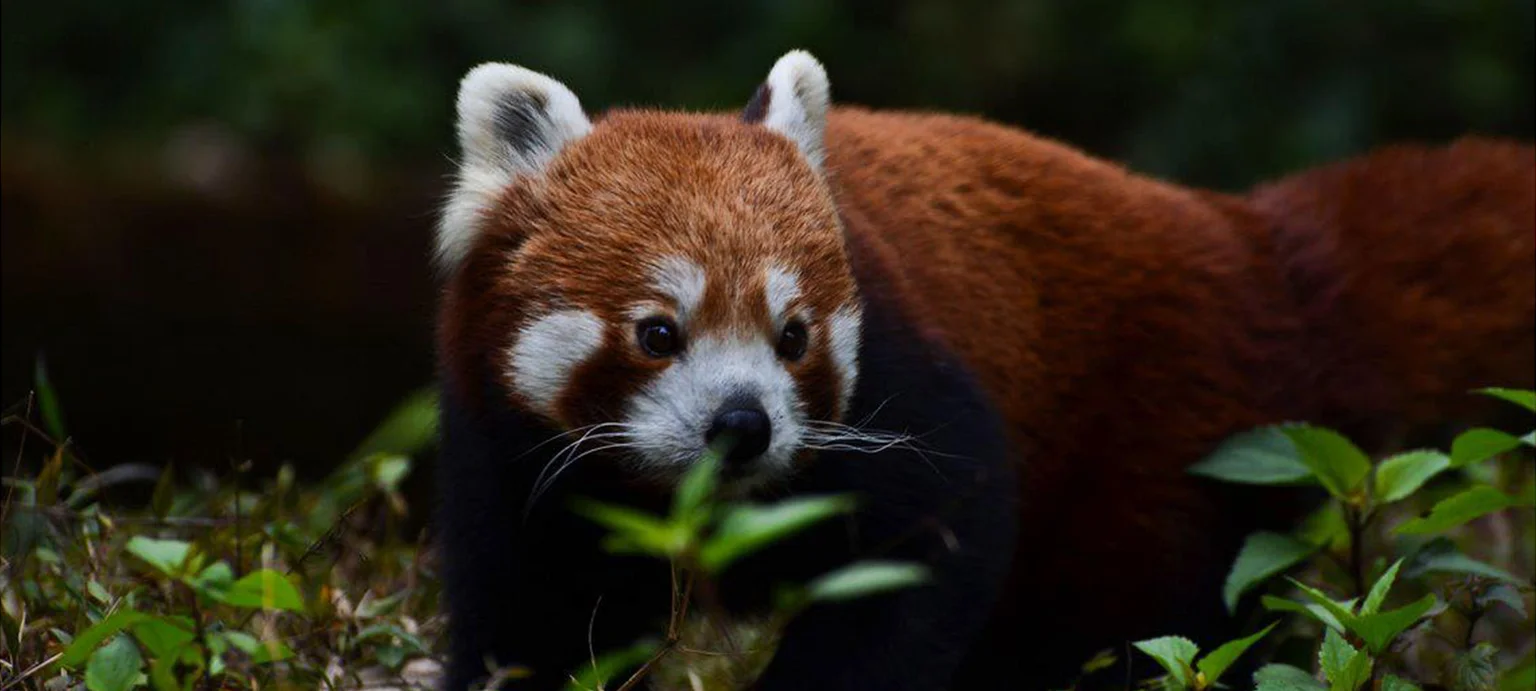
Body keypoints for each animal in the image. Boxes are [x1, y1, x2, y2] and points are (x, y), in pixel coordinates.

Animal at [433, 51, 1536, 687]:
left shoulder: (911, 378)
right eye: (659, 332)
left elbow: (933, 549)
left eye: (793, 335)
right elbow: (519, 621)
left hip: (1161, 449)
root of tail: (1248, 243)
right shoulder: (502, 447)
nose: (743, 425)